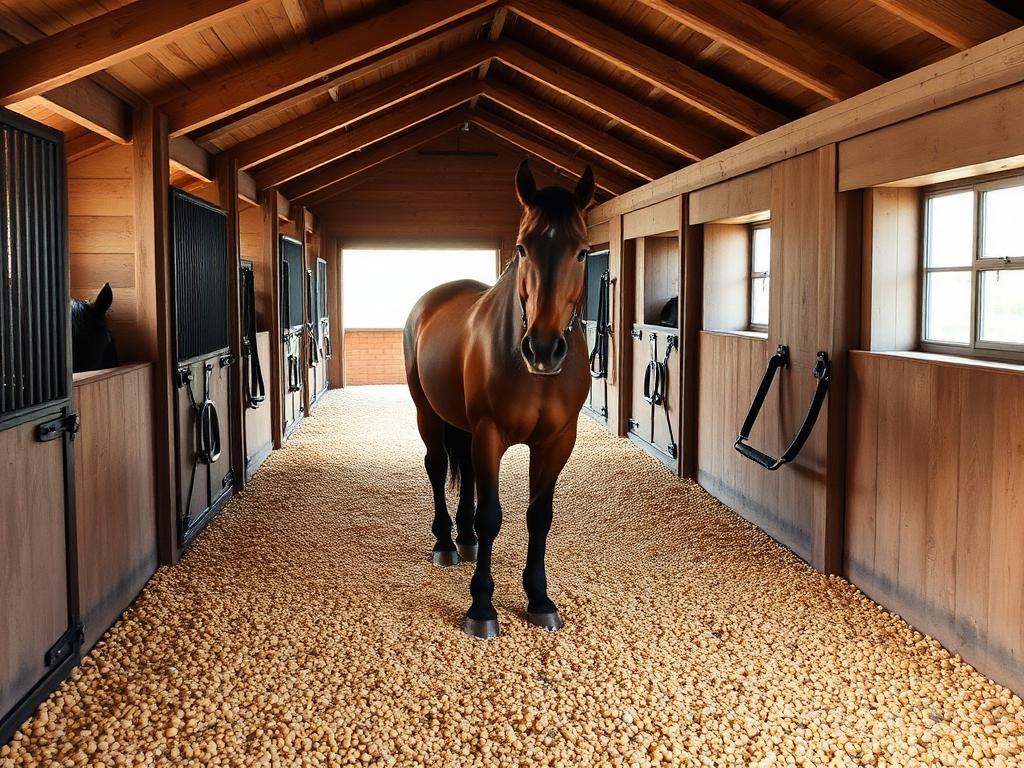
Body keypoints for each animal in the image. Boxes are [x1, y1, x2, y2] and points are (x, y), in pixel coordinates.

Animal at [404, 160, 595, 639]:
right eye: (523, 248)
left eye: (582, 252)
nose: (543, 349)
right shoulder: (490, 433)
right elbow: (492, 515)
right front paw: (481, 607)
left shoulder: (556, 442)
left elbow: (539, 516)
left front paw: (540, 599)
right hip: (427, 414)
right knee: (437, 467)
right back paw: (446, 542)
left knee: (466, 472)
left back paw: (466, 540)